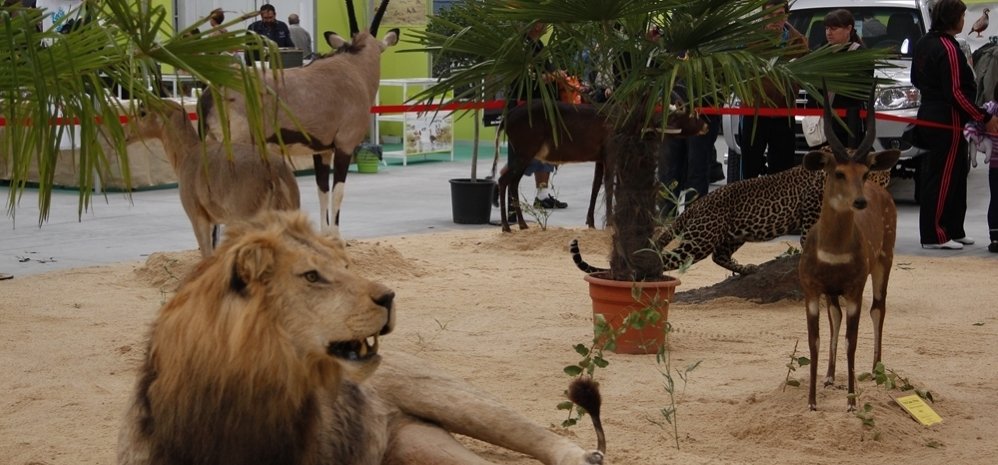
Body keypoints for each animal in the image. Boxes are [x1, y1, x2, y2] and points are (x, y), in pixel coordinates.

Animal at [115, 210, 600, 464]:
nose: (389, 295)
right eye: (312, 276)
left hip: (452, 398)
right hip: (418, 445)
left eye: (345, 266)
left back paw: (582, 457)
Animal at [197, 0, 400, 232]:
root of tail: (210, 93)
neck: (355, 66)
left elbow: (322, 192)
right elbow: (337, 194)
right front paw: (336, 237)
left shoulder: (322, 151)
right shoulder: (344, 146)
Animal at [796, 91, 908, 410]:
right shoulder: (811, 288)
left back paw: (876, 370)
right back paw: (830, 376)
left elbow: (852, 340)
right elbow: (814, 340)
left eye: (865, 171)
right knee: (835, 315)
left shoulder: (855, 287)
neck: (831, 253)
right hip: (834, 290)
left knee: (879, 307)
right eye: (838, 172)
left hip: (885, 259)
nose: (859, 201)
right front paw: (812, 402)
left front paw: (851, 402)